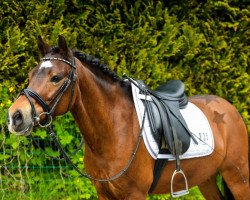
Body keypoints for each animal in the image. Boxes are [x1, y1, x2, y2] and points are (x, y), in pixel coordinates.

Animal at [6, 36, 249, 200]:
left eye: (56, 77)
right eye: (30, 75)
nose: (15, 116)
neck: (114, 129)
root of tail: (230, 109)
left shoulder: (135, 194)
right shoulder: (104, 193)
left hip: (238, 178)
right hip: (207, 178)